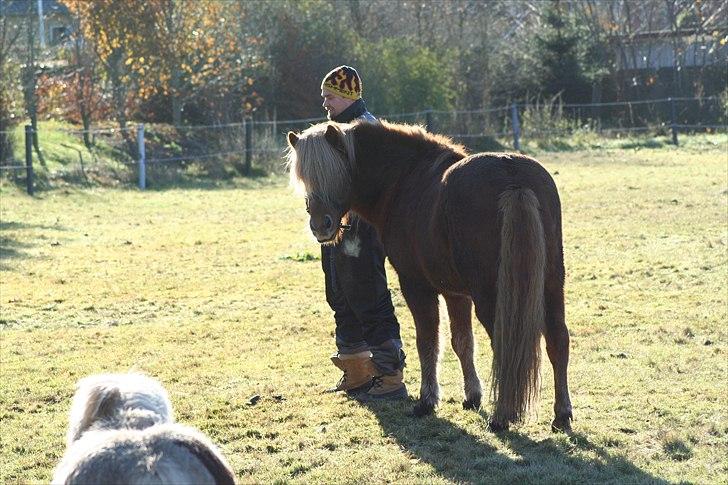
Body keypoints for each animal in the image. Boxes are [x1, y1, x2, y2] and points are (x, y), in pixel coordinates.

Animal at [288, 119, 572, 430]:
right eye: (305, 179)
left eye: (336, 172)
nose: (320, 226)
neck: (404, 179)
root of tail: (514, 178)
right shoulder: (456, 293)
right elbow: (462, 342)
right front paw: (472, 396)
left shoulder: (416, 286)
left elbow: (427, 342)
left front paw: (427, 401)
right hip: (551, 285)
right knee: (558, 339)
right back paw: (561, 415)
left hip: (494, 296)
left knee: (506, 345)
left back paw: (501, 416)